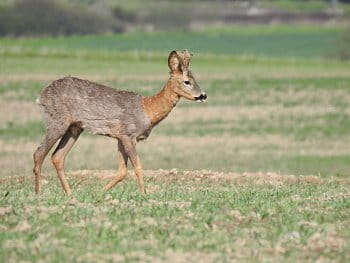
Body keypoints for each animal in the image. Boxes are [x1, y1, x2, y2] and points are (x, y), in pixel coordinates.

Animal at [33, 49, 206, 195]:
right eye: (187, 81)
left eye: (195, 79)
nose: (203, 95)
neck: (148, 109)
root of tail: (42, 95)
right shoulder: (128, 134)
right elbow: (138, 167)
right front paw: (144, 194)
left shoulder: (119, 137)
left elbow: (122, 171)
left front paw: (100, 193)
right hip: (58, 120)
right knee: (39, 153)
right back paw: (38, 193)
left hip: (75, 127)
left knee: (57, 157)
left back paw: (69, 194)